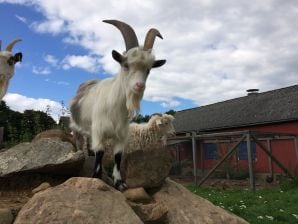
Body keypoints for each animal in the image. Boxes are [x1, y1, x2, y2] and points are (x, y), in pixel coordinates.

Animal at [70, 19, 168, 191]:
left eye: (148, 70)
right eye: (125, 64)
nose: (139, 86)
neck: (115, 108)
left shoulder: (121, 135)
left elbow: (117, 156)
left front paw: (119, 182)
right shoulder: (99, 131)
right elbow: (100, 153)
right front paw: (96, 177)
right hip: (76, 126)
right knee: (79, 141)